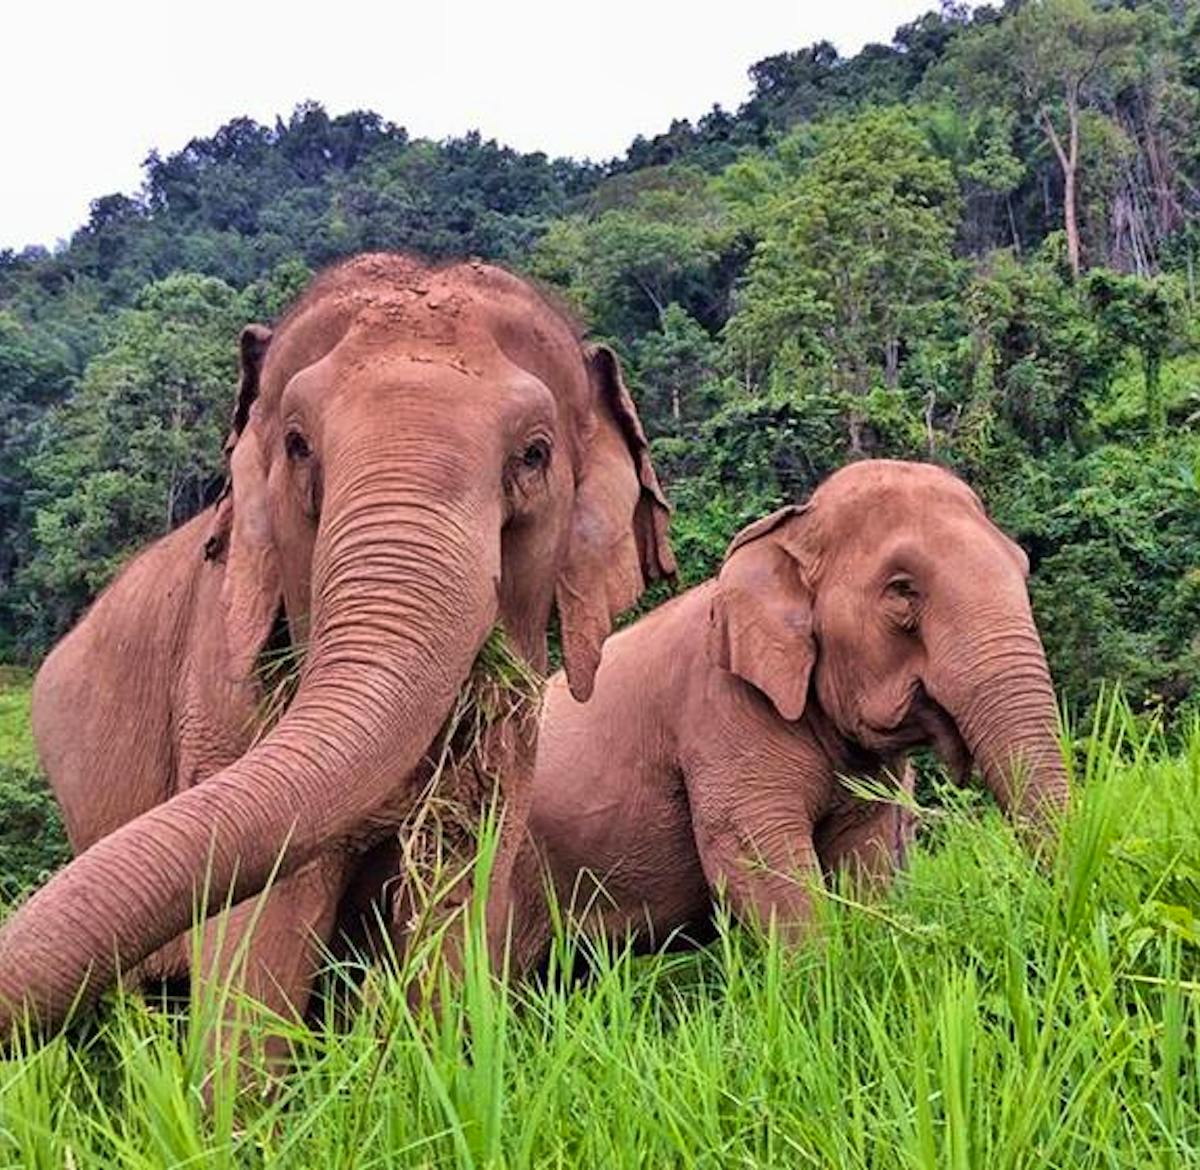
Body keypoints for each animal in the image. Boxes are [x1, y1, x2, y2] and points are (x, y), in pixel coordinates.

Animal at [496, 460, 1068, 973]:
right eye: (902, 589)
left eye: (1022, 567)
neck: (785, 534)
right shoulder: (721, 715)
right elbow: (756, 858)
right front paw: (816, 989)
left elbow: (864, 854)